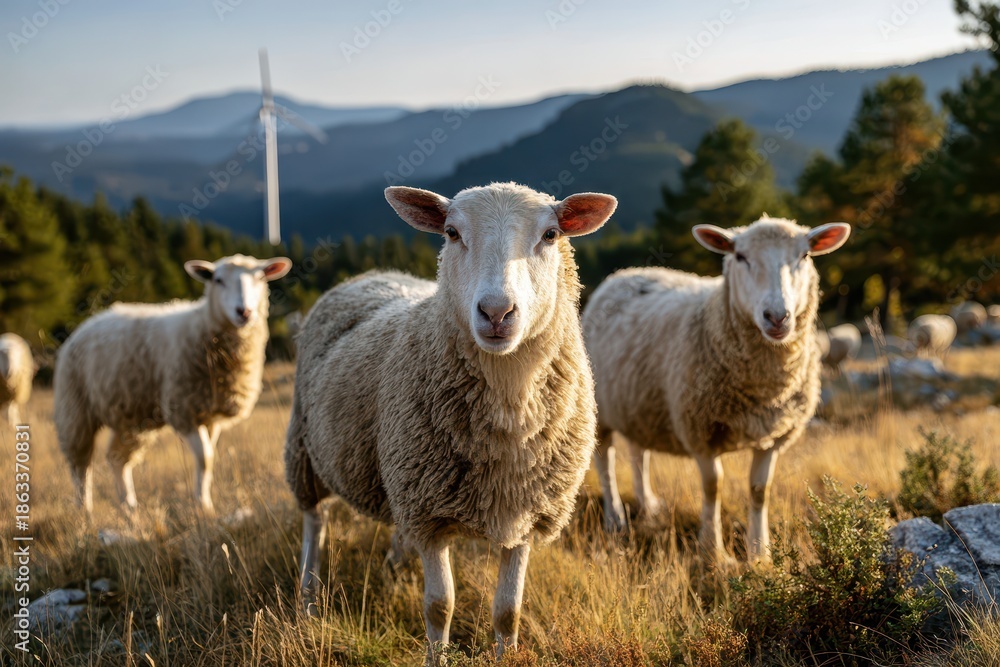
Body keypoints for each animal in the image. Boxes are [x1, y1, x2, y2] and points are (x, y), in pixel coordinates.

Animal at [55, 254, 291, 515]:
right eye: (218, 280)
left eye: (260, 277)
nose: (244, 312)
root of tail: (89, 321)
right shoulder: (184, 409)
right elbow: (204, 458)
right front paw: (202, 506)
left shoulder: (211, 416)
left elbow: (209, 457)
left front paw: (204, 502)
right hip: (75, 407)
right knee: (80, 463)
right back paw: (84, 510)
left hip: (130, 416)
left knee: (117, 458)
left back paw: (129, 508)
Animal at [285, 183, 616, 661]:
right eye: (452, 233)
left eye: (551, 234)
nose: (496, 312)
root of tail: (369, 275)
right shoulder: (429, 515)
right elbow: (439, 607)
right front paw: (436, 657)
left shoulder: (525, 513)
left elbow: (508, 611)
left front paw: (506, 657)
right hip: (305, 450)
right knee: (314, 523)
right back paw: (308, 599)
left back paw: (392, 564)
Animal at [582, 217, 851, 562]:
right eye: (740, 256)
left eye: (804, 255)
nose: (777, 316)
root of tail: (623, 274)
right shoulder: (700, 430)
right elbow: (713, 487)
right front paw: (713, 550)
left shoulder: (774, 436)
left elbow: (759, 491)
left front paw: (759, 553)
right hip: (600, 408)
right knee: (605, 461)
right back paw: (614, 518)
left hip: (638, 402)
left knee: (638, 454)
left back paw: (649, 505)